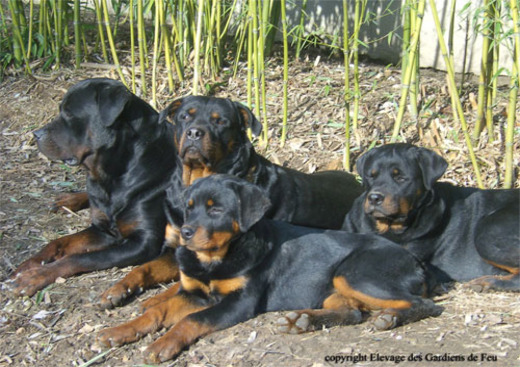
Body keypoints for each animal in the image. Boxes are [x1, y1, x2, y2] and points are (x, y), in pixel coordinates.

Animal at [8, 79, 177, 298]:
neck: (113, 174)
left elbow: (80, 258)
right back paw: (69, 199)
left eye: (70, 113)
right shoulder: (102, 229)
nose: (36, 134)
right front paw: (26, 265)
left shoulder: (143, 242)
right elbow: (58, 241)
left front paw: (35, 276)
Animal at [96, 176, 438, 366]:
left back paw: (390, 318)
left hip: (354, 272)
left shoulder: (239, 301)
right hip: (336, 283)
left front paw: (162, 345)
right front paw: (118, 332)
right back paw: (302, 320)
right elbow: (158, 312)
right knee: (352, 312)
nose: (185, 233)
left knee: (426, 304)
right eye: (188, 207)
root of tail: (416, 262)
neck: (215, 259)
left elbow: (192, 320)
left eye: (216, 209)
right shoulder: (194, 292)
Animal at [99, 96, 364, 310]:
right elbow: (145, 267)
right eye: (185, 116)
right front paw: (118, 289)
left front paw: (158, 299)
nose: (195, 132)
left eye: (220, 122)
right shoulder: (176, 243)